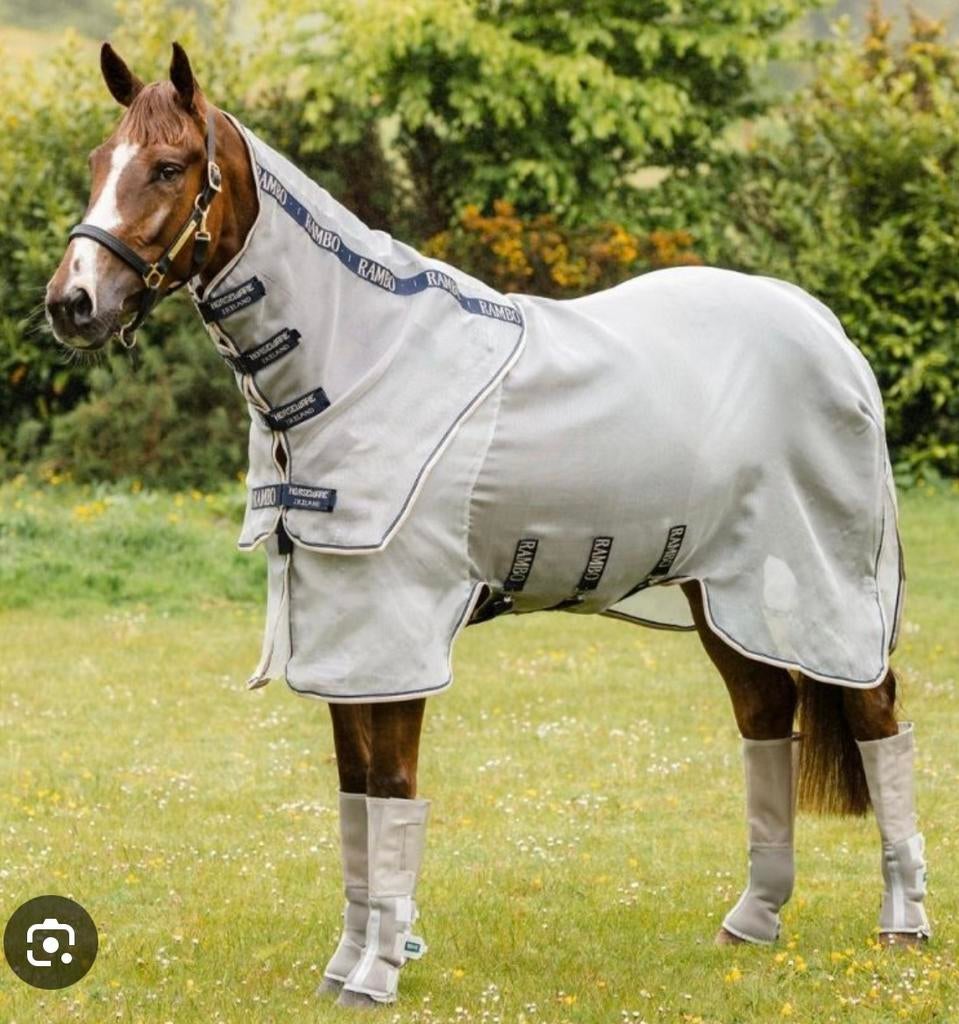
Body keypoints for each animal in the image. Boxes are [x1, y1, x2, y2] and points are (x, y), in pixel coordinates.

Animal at [45, 43, 930, 1008]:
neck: (361, 361)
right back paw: (753, 920)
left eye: (168, 167)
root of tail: (822, 327)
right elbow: (355, 799)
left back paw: (901, 925)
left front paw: (376, 975)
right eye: (98, 162)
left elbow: (392, 790)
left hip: (823, 585)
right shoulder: (343, 636)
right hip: (721, 592)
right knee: (766, 716)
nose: (72, 303)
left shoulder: (393, 631)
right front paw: (345, 965)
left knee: (877, 718)